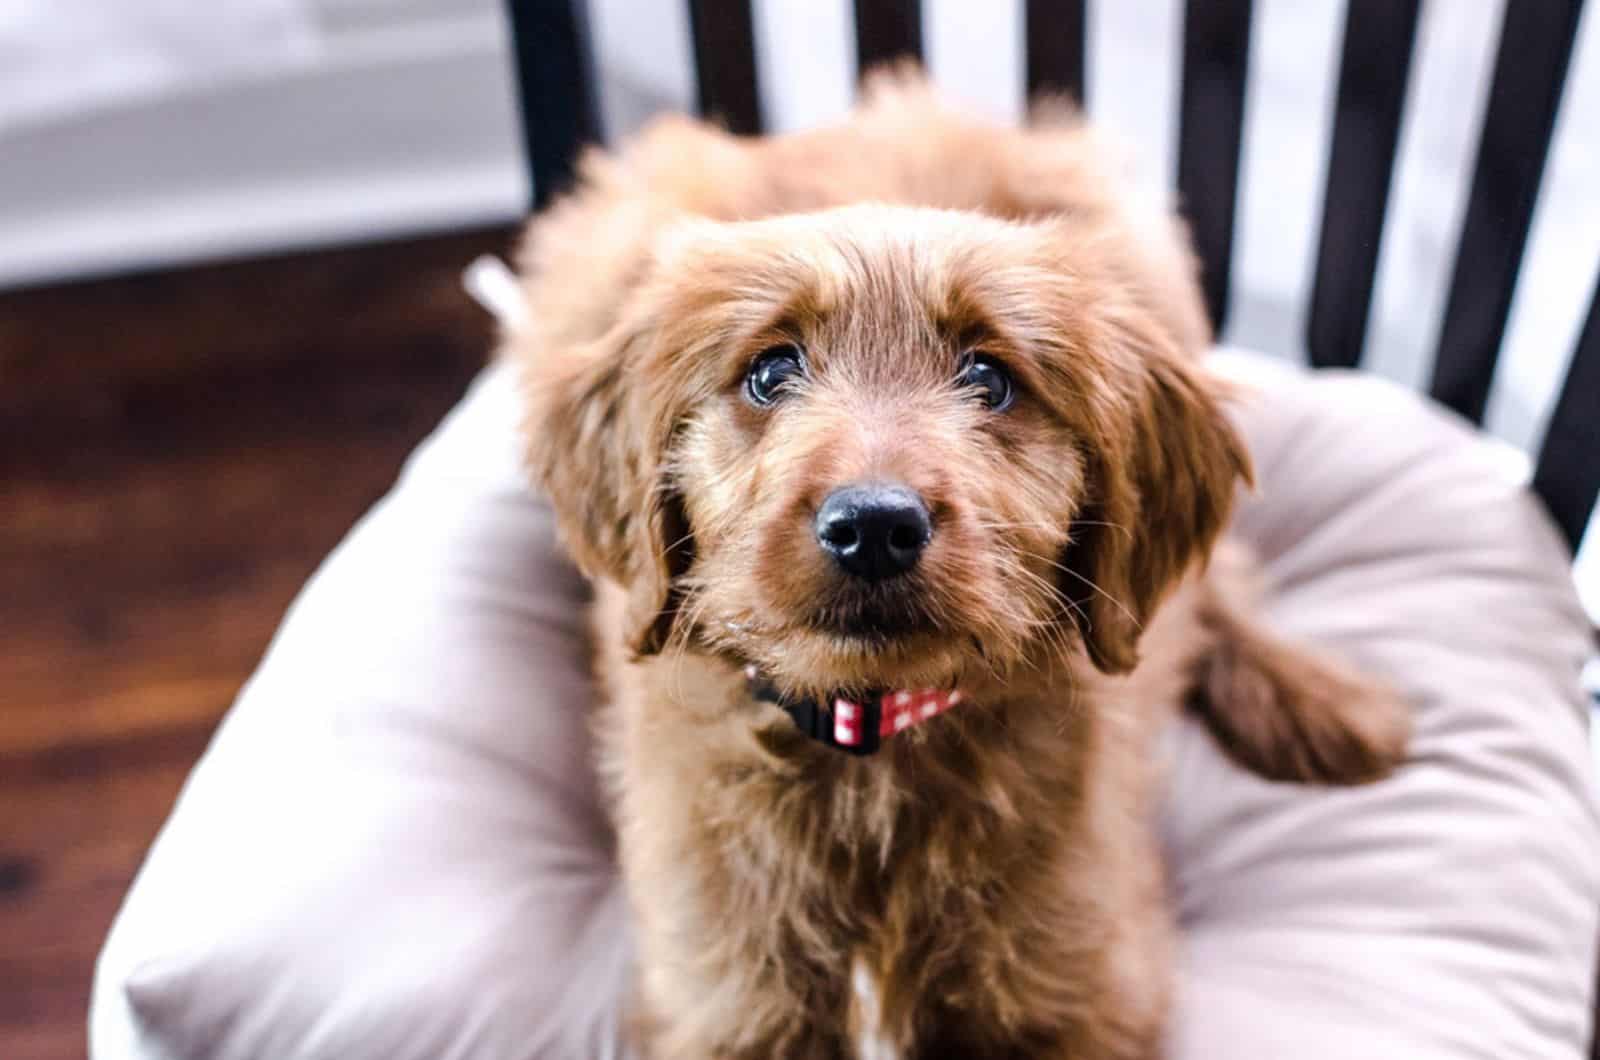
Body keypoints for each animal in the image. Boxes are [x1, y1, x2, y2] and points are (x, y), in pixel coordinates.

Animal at [505, 72, 1408, 1060]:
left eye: (990, 378)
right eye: (771, 372)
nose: (873, 527)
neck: (873, 748)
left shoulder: (1083, 989)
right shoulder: (720, 1004)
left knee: (1217, 583)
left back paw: (1324, 703)